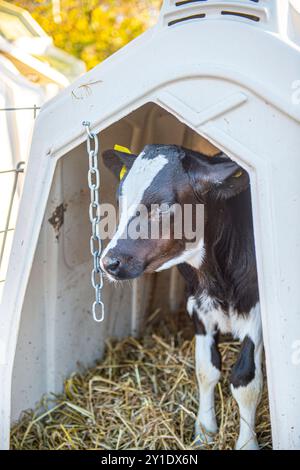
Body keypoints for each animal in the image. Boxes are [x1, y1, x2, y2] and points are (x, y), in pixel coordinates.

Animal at [101, 145, 262, 450]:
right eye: (119, 198)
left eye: (163, 206)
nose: (109, 262)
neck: (215, 280)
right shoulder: (198, 308)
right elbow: (205, 369)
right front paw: (204, 431)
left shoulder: (256, 313)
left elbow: (245, 382)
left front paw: (247, 443)